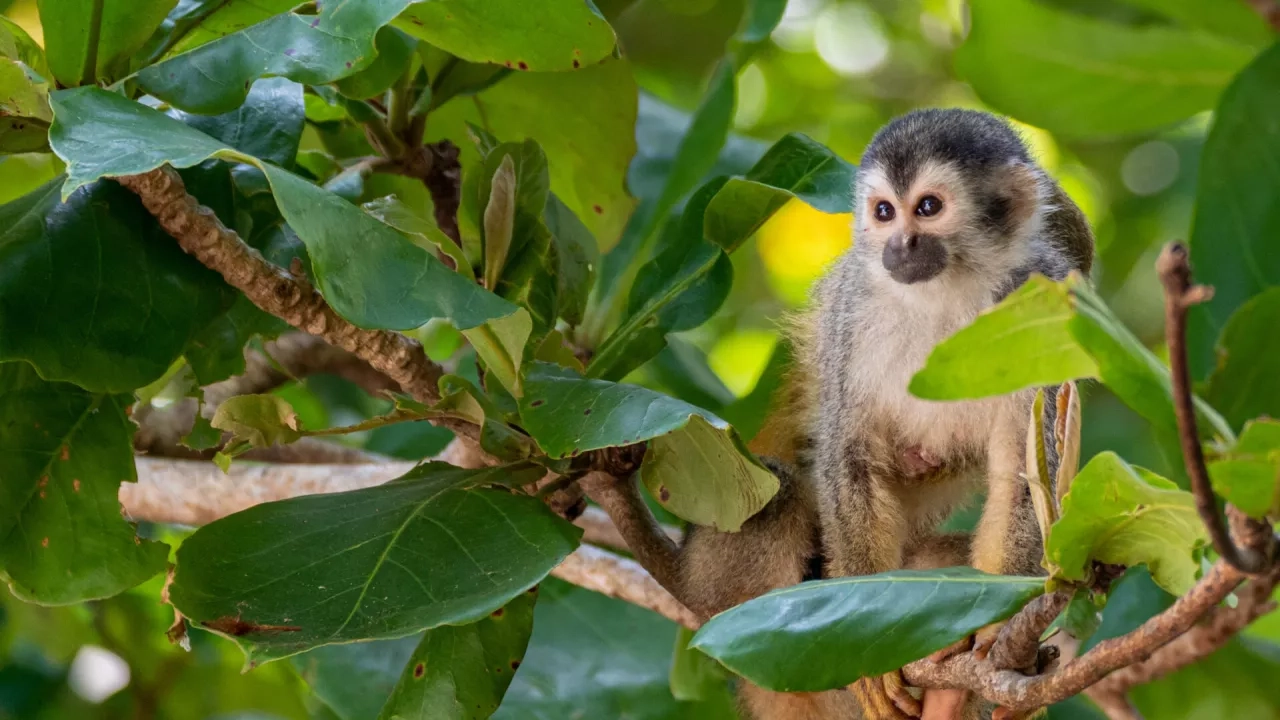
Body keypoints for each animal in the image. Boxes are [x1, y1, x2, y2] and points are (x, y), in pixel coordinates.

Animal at [581, 107, 1090, 717]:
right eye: (884, 211)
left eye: (928, 207)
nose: (901, 245)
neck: (947, 296)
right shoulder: (855, 311)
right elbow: (850, 453)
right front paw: (865, 650)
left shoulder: (1042, 309)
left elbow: (1023, 475)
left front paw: (995, 635)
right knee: (776, 490)